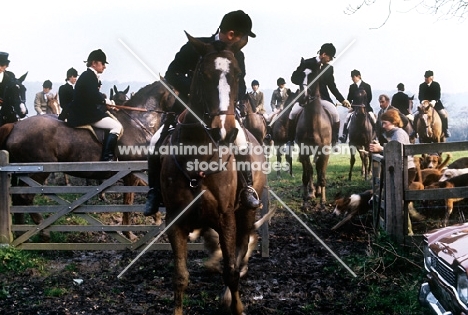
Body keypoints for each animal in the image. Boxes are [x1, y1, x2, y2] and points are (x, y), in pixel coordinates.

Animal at [0, 81, 176, 239]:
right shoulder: (131, 172)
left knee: (18, 200)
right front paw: (129, 233)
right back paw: (42, 232)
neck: (137, 122)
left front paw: (157, 217)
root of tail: (15, 125)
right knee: (25, 198)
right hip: (37, 171)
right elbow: (129, 201)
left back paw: (21, 232)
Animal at [159, 34, 266, 315]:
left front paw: (235, 305)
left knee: (241, 250)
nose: (224, 131)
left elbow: (231, 270)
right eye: (204, 74)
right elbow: (181, 276)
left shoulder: (226, 218)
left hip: (246, 213)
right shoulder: (176, 222)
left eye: (238, 74)